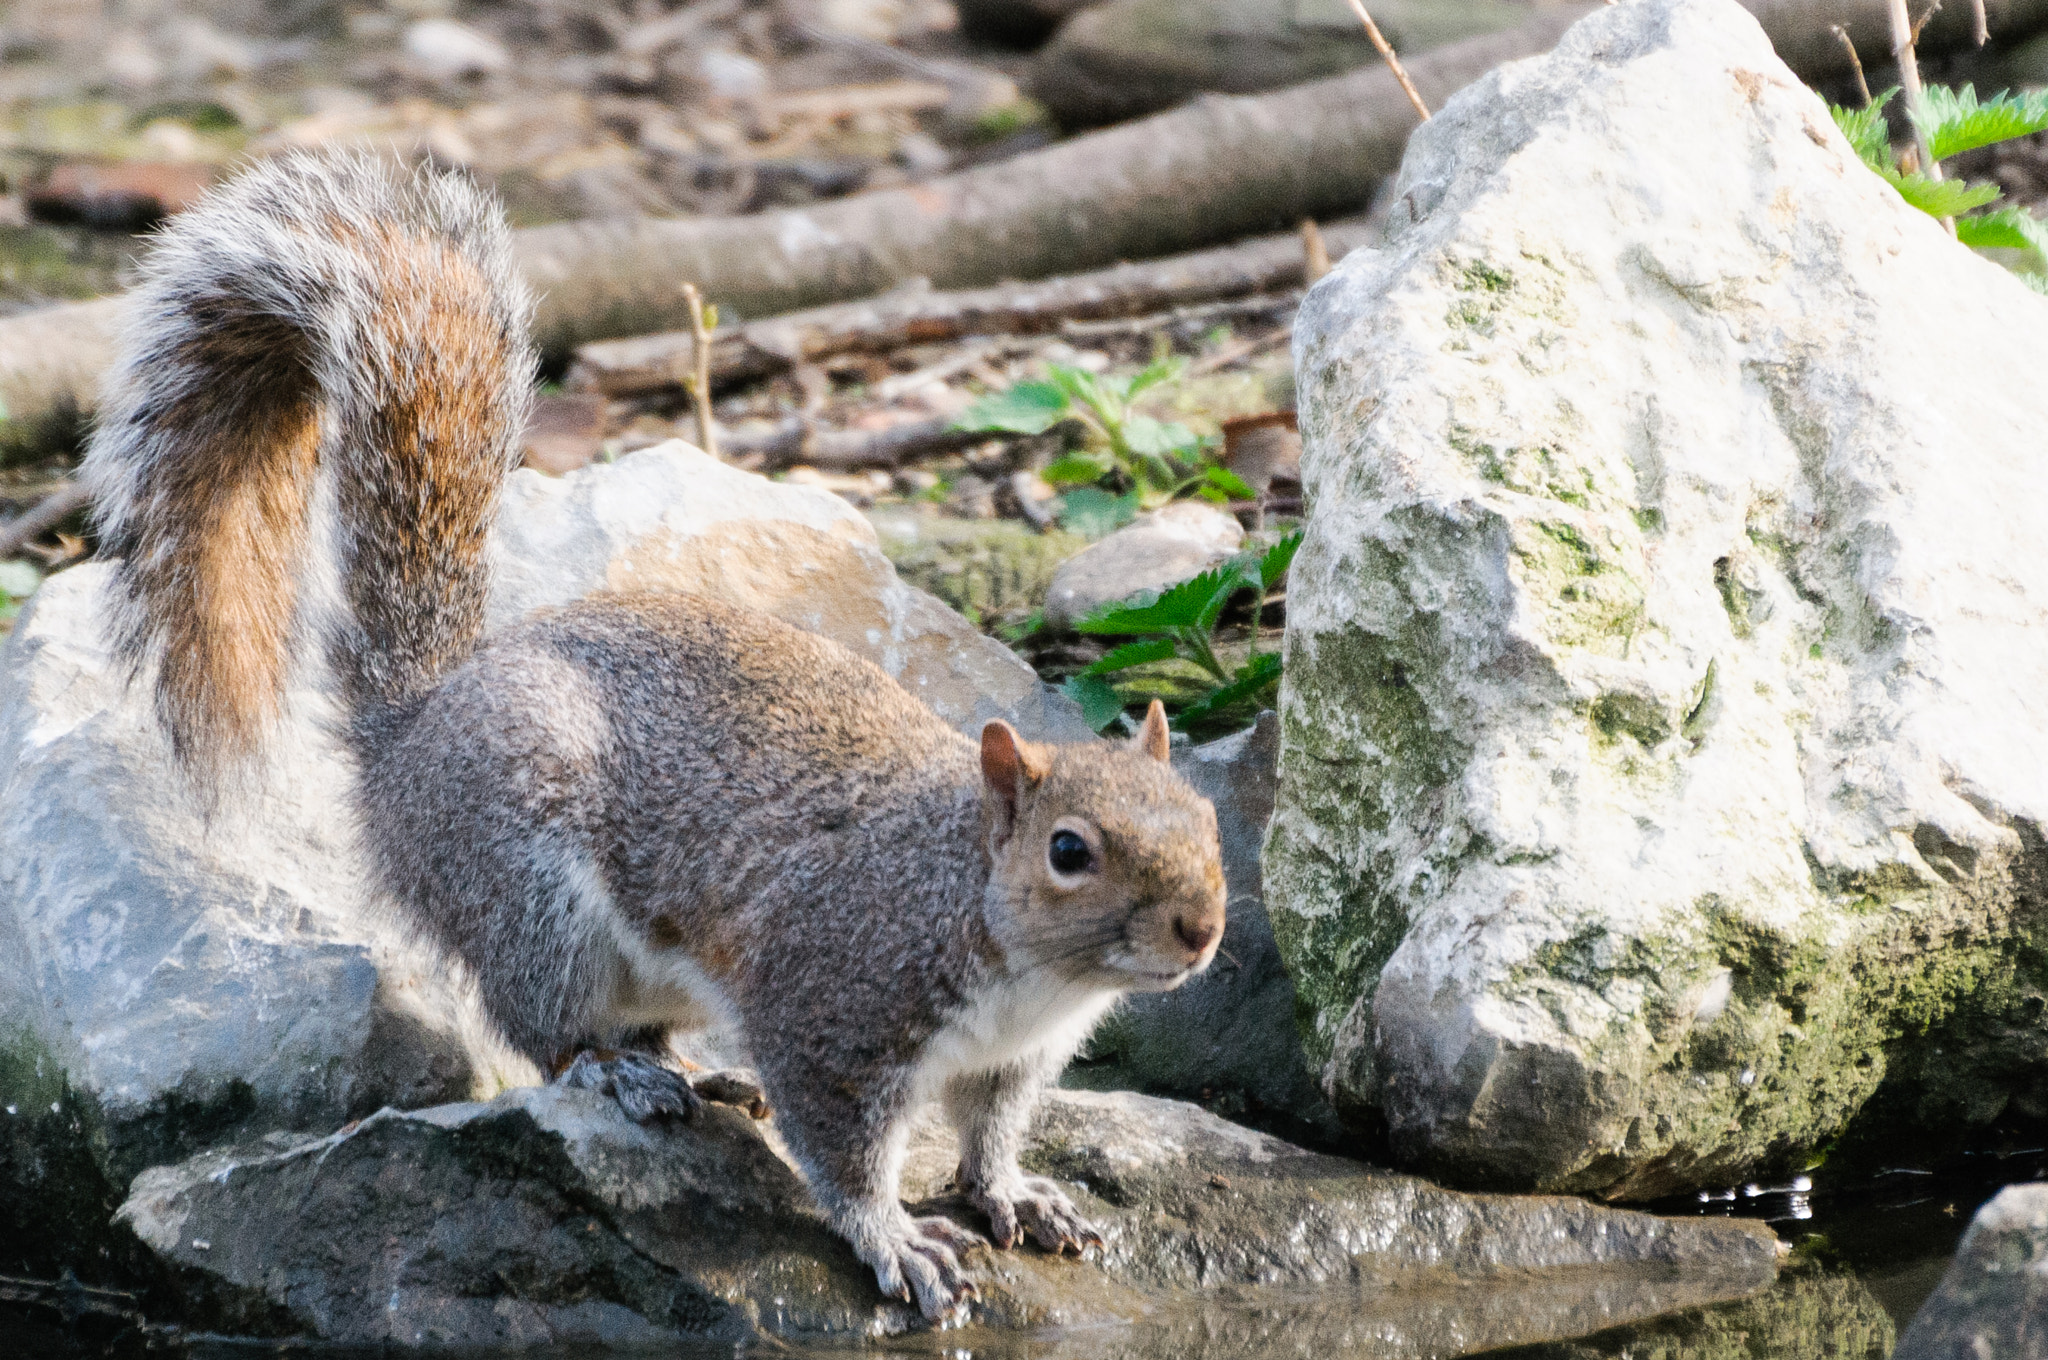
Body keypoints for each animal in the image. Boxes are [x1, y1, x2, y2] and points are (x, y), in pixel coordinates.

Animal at [83, 151, 1228, 1327]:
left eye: (1207, 820)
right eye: (1068, 851)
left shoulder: (1009, 1064)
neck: (996, 938)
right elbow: (845, 1156)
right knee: (541, 1027)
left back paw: (698, 1069)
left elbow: (990, 1136)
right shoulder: (827, 1011)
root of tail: (414, 735)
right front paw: (898, 1239)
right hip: (528, 885)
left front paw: (1014, 1194)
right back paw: (614, 1072)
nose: (1199, 930)